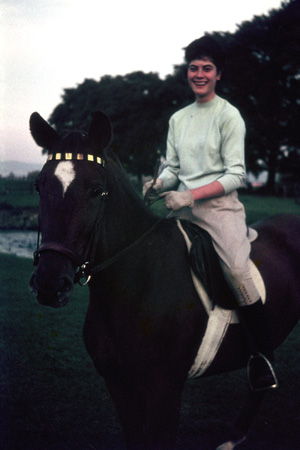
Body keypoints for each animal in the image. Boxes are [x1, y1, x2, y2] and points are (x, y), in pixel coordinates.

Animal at [29, 110, 300, 448]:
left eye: (95, 190)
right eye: (40, 186)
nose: (49, 284)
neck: (136, 283)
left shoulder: (165, 391)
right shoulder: (118, 384)